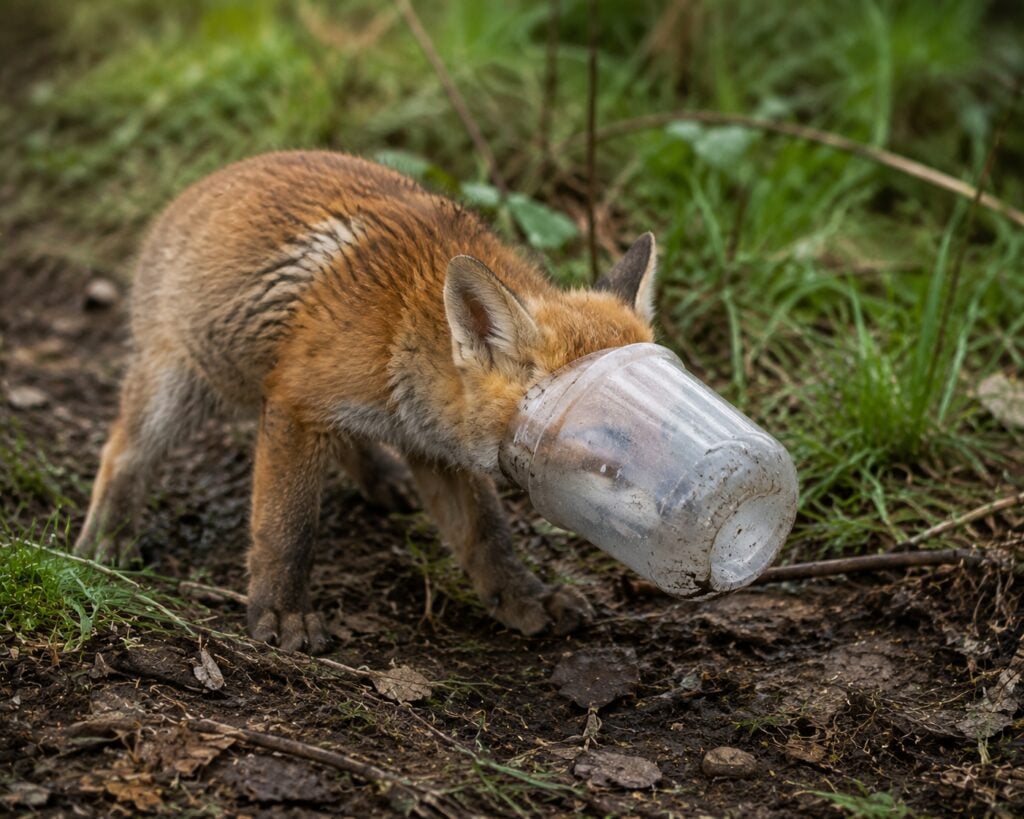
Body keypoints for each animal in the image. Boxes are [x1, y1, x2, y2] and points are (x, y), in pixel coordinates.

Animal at [74, 150, 659, 653]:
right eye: (599, 434)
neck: (401, 332)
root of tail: (215, 176)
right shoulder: (295, 404)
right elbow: (287, 527)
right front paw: (282, 613)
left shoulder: (433, 443)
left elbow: (487, 535)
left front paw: (522, 597)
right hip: (178, 386)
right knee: (122, 452)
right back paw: (107, 539)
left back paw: (381, 475)